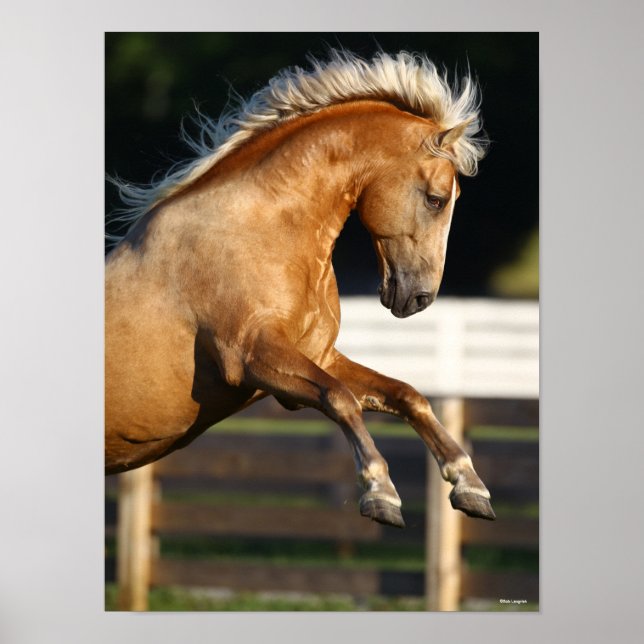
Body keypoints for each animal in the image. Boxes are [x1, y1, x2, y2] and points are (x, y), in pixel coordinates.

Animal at [105, 49, 495, 528]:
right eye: (436, 199)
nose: (420, 298)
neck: (258, 231)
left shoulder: (318, 356)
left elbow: (407, 396)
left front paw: (470, 485)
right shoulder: (251, 356)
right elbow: (340, 398)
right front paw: (380, 493)